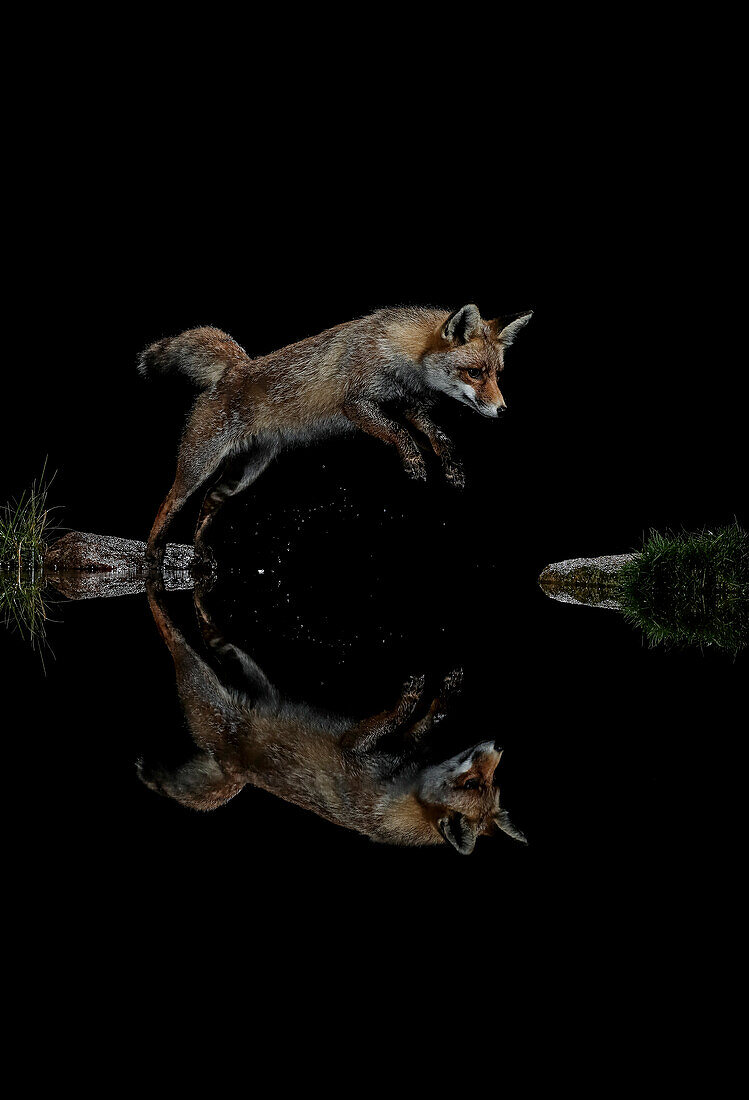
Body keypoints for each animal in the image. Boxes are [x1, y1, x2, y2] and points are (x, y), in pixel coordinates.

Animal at [138, 308, 532, 572]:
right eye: (474, 373)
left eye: (497, 375)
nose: (502, 410)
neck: (397, 353)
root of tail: (236, 368)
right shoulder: (356, 404)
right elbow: (399, 434)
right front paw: (414, 464)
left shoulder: (408, 406)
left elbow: (438, 437)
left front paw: (452, 469)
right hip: (198, 465)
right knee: (168, 504)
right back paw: (152, 558)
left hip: (244, 475)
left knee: (208, 502)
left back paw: (201, 557)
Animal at [140, 580, 525, 853]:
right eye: (485, 782)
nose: (500, 745)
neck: (402, 785)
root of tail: (230, 767)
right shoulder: (396, 745)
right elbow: (429, 719)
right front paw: (445, 691)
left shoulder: (352, 747)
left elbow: (387, 721)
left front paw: (409, 698)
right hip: (256, 682)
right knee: (219, 643)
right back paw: (205, 615)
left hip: (204, 692)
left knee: (175, 640)